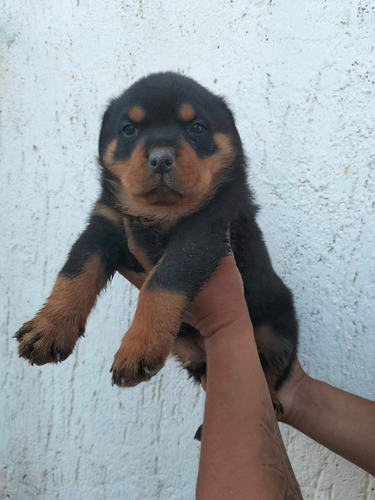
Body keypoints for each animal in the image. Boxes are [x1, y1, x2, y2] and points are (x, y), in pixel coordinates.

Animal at [15, 70, 300, 414]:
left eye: (197, 127)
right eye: (129, 129)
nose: (161, 159)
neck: (159, 212)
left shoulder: (202, 232)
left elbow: (162, 282)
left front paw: (138, 347)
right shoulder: (104, 223)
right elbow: (75, 271)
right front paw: (49, 327)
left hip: (278, 325)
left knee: (269, 366)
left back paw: (269, 402)